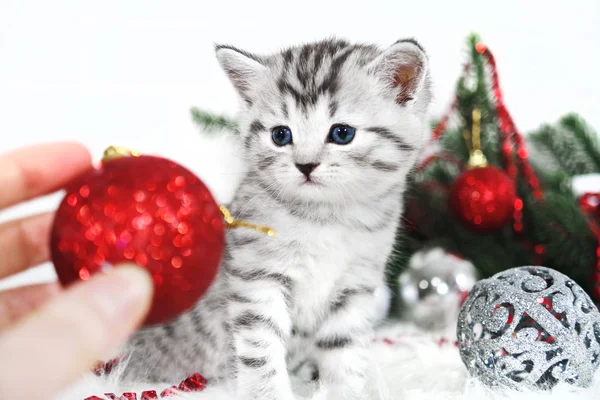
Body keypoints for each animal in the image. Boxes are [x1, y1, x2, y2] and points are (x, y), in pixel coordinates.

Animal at [122, 37, 432, 400]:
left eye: (342, 133)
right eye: (281, 135)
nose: (305, 165)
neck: (326, 218)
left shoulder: (355, 284)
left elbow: (343, 349)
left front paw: (344, 391)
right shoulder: (257, 277)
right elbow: (261, 347)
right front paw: (267, 393)